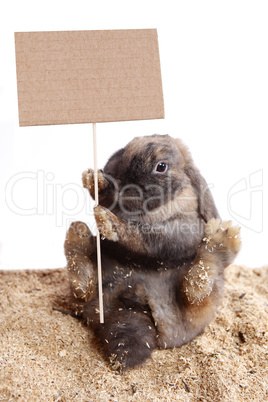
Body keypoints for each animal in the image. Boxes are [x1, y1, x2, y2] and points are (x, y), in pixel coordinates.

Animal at [65, 134, 241, 370]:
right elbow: (104, 199)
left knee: (194, 292)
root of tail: (131, 304)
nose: (117, 180)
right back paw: (78, 236)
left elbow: (139, 236)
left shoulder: (171, 235)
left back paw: (224, 240)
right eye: (124, 148)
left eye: (161, 166)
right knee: (82, 289)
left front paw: (109, 222)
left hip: (199, 306)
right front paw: (93, 178)